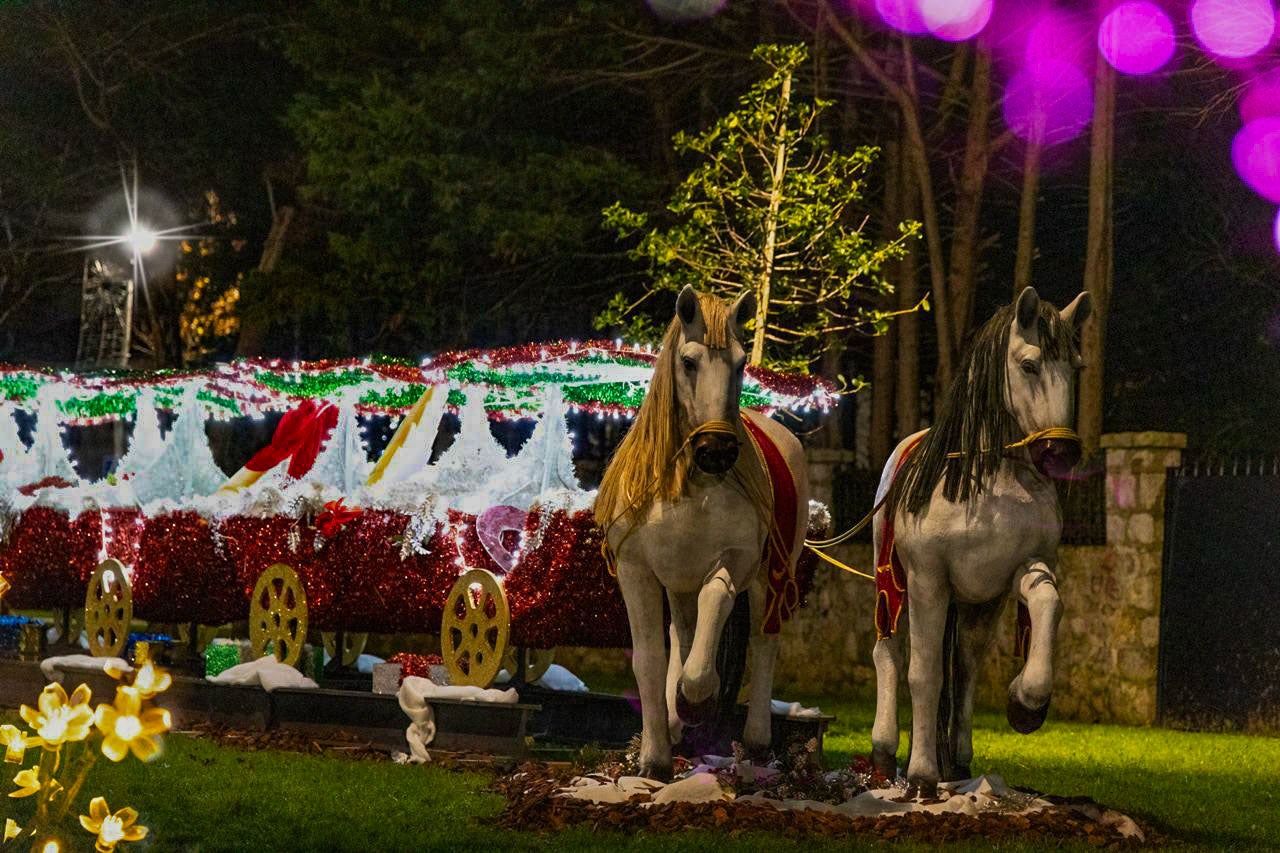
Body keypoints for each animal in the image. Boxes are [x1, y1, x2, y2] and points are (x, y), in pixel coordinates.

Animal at [593, 285, 803, 778]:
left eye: (742, 363)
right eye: (689, 362)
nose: (717, 449)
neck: (689, 485)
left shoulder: (733, 562)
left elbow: (714, 611)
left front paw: (696, 699)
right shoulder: (637, 571)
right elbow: (652, 658)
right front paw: (655, 755)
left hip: (771, 577)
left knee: (763, 640)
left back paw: (756, 736)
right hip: (678, 583)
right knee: (682, 634)